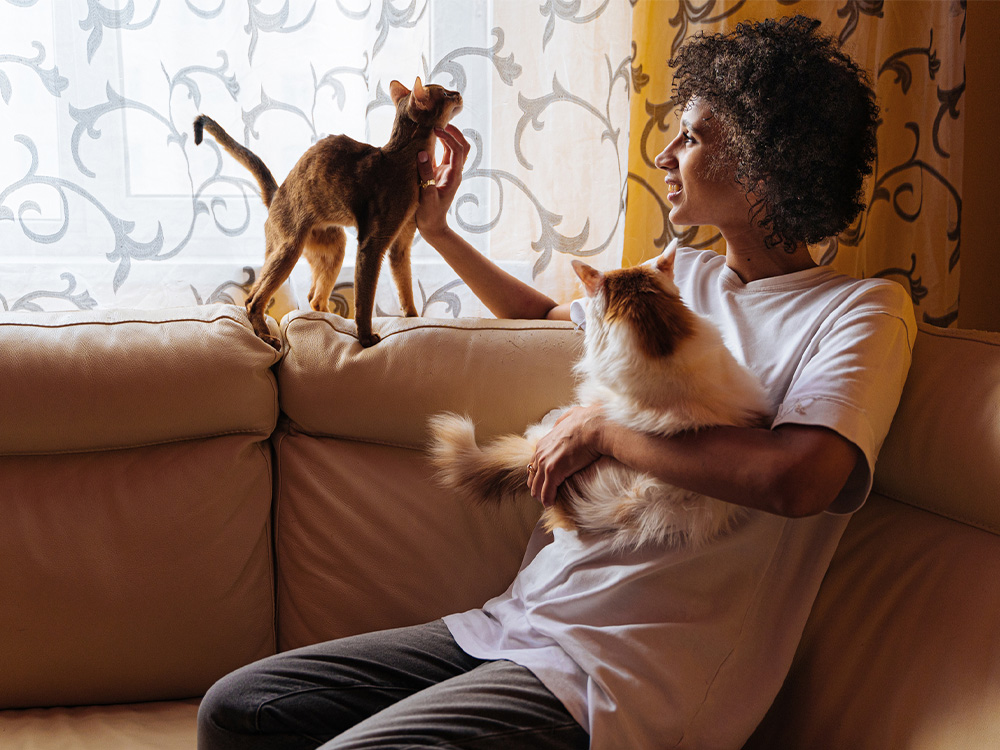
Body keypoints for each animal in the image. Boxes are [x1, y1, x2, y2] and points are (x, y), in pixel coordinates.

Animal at [193, 78, 462, 348]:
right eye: (445, 93)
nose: (458, 93)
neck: (403, 159)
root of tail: (276, 193)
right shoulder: (371, 246)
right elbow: (365, 299)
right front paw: (366, 338)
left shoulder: (400, 246)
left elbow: (405, 288)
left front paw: (413, 319)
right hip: (290, 248)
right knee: (254, 300)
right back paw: (266, 335)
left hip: (332, 247)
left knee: (310, 297)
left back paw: (329, 319)